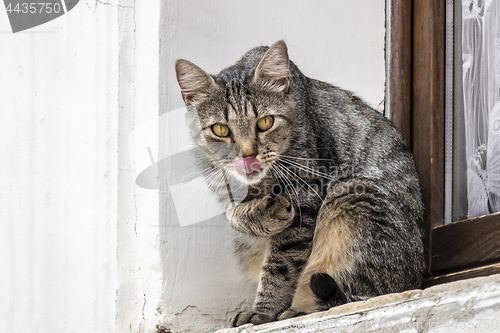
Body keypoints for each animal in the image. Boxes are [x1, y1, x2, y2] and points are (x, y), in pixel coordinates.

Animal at [174, 38, 424, 324]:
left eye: (266, 122)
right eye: (220, 129)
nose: (248, 154)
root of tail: (418, 276)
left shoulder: (306, 198)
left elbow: (280, 266)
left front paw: (264, 310)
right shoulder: (225, 188)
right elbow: (232, 213)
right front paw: (268, 213)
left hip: (355, 200)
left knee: (359, 296)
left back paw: (302, 309)